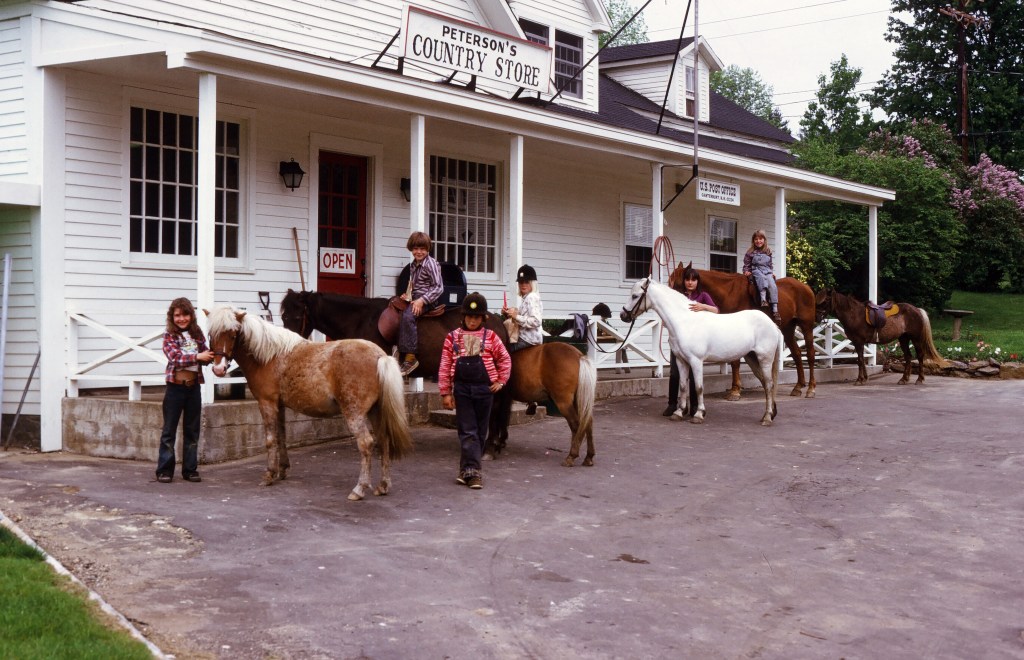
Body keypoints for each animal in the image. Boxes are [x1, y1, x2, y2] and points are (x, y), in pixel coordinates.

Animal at [205, 306, 413, 499]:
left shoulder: (267, 403)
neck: (269, 356)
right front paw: (282, 469)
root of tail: (380, 356)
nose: (219, 369)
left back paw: (359, 488)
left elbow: (270, 440)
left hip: (355, 413)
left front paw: (269, 474)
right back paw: (383, 485)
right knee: (383, 441)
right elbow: (281, 437)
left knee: (366, 443)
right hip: (376, 411)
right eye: (211, 334)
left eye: (233, 334)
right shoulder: (279, 406)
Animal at [281, 290, 598, 466]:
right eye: (283, 315)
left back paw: (491, 447)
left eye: (295, 315)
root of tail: (496, 320)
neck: (363, 319)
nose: (288, 346)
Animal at [620, 277, 783, 426]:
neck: (685, 321)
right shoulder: (681, 360)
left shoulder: (696, 361)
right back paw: (768, 414)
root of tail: (772, 325)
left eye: (635, 296)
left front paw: (698, 414)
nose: (623, 316)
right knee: (765, 383)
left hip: (765, 359)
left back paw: (767, 418)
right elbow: (683, 386)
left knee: (769, 384)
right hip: (751, 358)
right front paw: (678, 413)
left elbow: (698, 388)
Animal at [669, 262, 818, 400]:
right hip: (788, 328)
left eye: (677, 284)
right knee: (797, 353)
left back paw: (811, 388)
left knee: (810, 354)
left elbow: (735, 361)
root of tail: (806, 287)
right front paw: (735, 388)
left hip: (806, 326)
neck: (728, 293)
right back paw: (798, 387)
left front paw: (735, 390)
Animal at [814, 288, 946, 385]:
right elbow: (862, 360)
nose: (816, 317)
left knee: (919, 356)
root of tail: (916, 310)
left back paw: (919, 379)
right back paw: (904, 379)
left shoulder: (858, 342)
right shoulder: (859, 343)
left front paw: (859, 380)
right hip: (903, 338)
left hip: (916, 338)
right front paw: (865, 378)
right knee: (908, 357)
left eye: (825, 301)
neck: (854, 315)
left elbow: (860, 360)